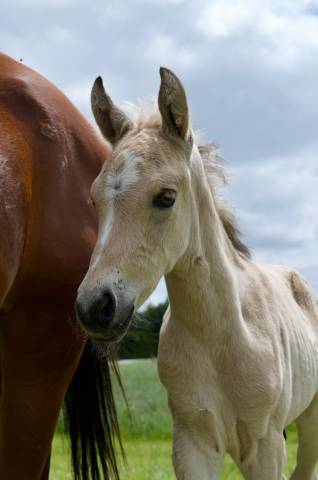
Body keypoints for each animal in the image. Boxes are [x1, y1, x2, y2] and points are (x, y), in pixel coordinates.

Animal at [77, 67, 318, 480]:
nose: (95, 307)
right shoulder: (192, 440)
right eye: (94, 200)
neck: (223, 338)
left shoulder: (266, 446)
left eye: (166, 197)